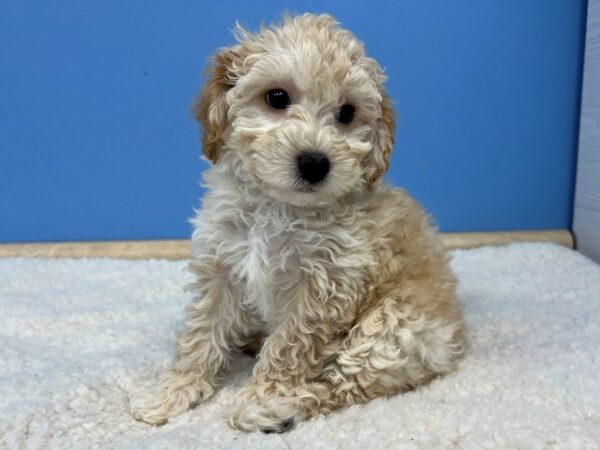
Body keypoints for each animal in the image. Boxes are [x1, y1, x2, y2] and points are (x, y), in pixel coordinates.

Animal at [131, 14, 466, 432]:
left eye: (347, 113)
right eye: (276, 97)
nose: (315, 162)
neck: (278, 206)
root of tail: (457, 338)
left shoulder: (325, 284)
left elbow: (289, 347)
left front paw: (261, 396)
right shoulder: (222, 265)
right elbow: (202, 333)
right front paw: (172, 393)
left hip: (394, 330)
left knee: (345, 386)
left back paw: (277, 410)